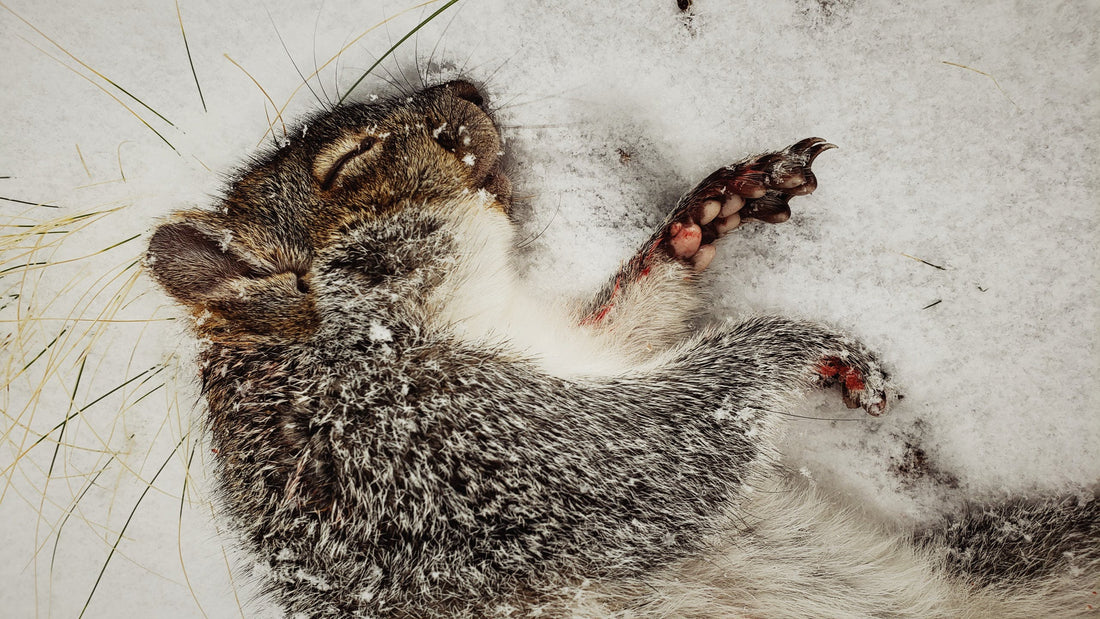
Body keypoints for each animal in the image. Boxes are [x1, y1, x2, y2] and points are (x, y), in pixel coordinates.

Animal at [147, 80, 1099, 618]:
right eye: (352, 162)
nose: (464, 84)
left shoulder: (571, 352)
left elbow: (626, 327)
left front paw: (702, 220)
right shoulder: (434, 455)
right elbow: (670, 454)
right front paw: (800, 344)